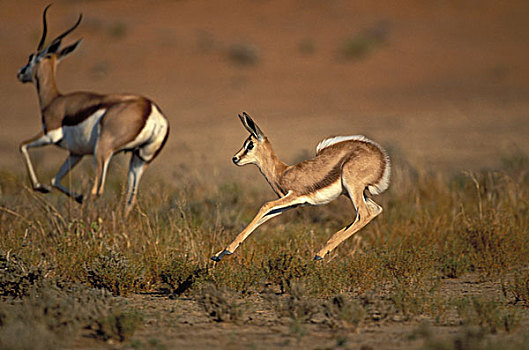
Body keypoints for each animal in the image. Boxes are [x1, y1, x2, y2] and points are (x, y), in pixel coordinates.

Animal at [17, 5, 169, 216]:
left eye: (31, 57)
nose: (20, 73)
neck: (55, 100)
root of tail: (151, 110)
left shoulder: (51, 135)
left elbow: (23, 146)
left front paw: (41, 187)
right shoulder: (76, 153)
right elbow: (55, 180)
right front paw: (75, 196)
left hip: (103, 150)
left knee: (97, 190)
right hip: (140, 158)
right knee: (130, 199)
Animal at [212, 113, 390, 262]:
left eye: (250, 145)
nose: (235, 158)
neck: (282, 173)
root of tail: (382, 158)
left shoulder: (294, 196)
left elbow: (265, 206)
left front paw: (227, 250)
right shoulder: (291, 204)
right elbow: (264, 217)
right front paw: (218, 254)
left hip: (352, 188)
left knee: (364, 214)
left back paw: (320, 253)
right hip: (351, 192)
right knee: (375, 210)